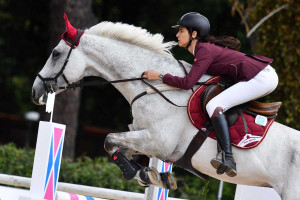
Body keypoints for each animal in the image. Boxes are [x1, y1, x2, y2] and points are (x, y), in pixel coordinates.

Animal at [31, 19, 300, 199]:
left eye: (55, 53)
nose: (35, 92)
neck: (153, 88)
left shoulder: (158, 141)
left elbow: (109, 140)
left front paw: (142, 174)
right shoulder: (144, 138)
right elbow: (118, 147)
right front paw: (150, 175)